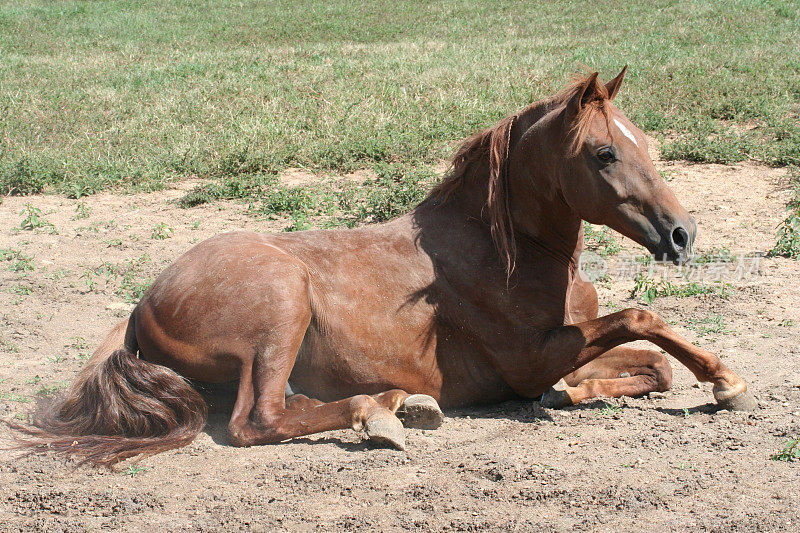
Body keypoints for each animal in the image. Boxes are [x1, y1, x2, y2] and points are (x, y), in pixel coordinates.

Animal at [12, 67, 756, 466]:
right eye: (604, 153)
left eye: (645, 141)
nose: (682, 234)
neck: (505, 252)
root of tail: (142, 303)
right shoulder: (531, 359)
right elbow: (643, 316)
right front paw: (728, 382)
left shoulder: (565, 350)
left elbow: (653, 363)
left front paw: (577, 395)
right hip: (281, 307)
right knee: (258, 419)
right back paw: (382, 415)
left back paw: (405, 403)